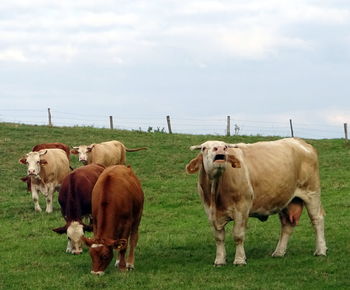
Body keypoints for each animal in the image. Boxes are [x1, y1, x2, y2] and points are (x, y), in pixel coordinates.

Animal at [187, 138, 326, 266]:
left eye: (225, 146)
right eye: (204, 148)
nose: (220, 149)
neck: (215, 192)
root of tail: (299, 141)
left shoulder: (242, 208)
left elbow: (238, 235)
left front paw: (239, 260)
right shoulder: (210, 212)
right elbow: (219, 237)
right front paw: (220, 260)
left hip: (312, 192)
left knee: (317, 220)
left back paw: (320, 250)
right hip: (286, 199)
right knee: (287, 225)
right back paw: (279, 252)